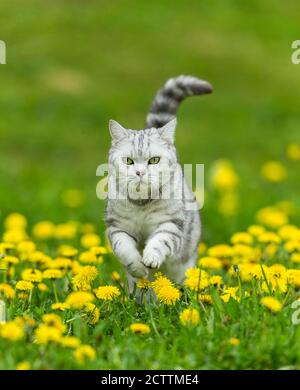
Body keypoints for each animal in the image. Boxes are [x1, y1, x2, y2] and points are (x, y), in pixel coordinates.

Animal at [105, 74, 213, 288]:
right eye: (128, 161)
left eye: (154, 160)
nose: (140, 172)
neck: (141, 204)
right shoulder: (118, 227)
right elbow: (125, 249)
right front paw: (138, 268)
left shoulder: (171, 224)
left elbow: (159, 241)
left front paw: (151, 257)